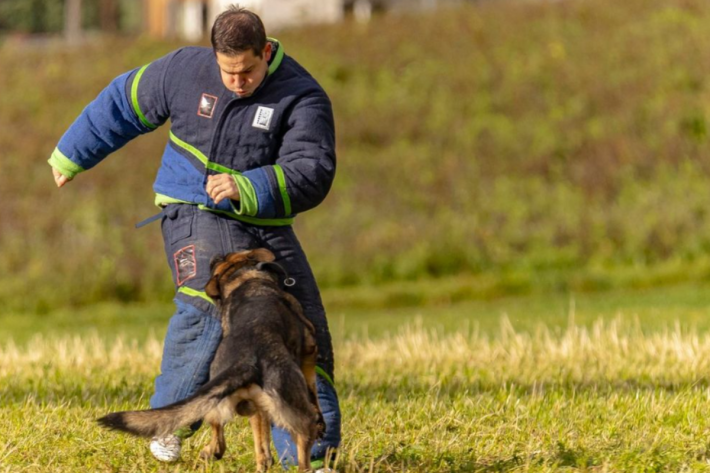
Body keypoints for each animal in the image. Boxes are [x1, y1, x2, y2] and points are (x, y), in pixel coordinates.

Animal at [97, 249, 326, 470]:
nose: (215, 257)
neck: (244, 278)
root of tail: (246, 361)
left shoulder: (257, 406)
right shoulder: (310, 348)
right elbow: (313, 388)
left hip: (219, 402)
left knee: (228, 440)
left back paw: (211, 453)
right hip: (296, 415)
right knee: (302, 455)